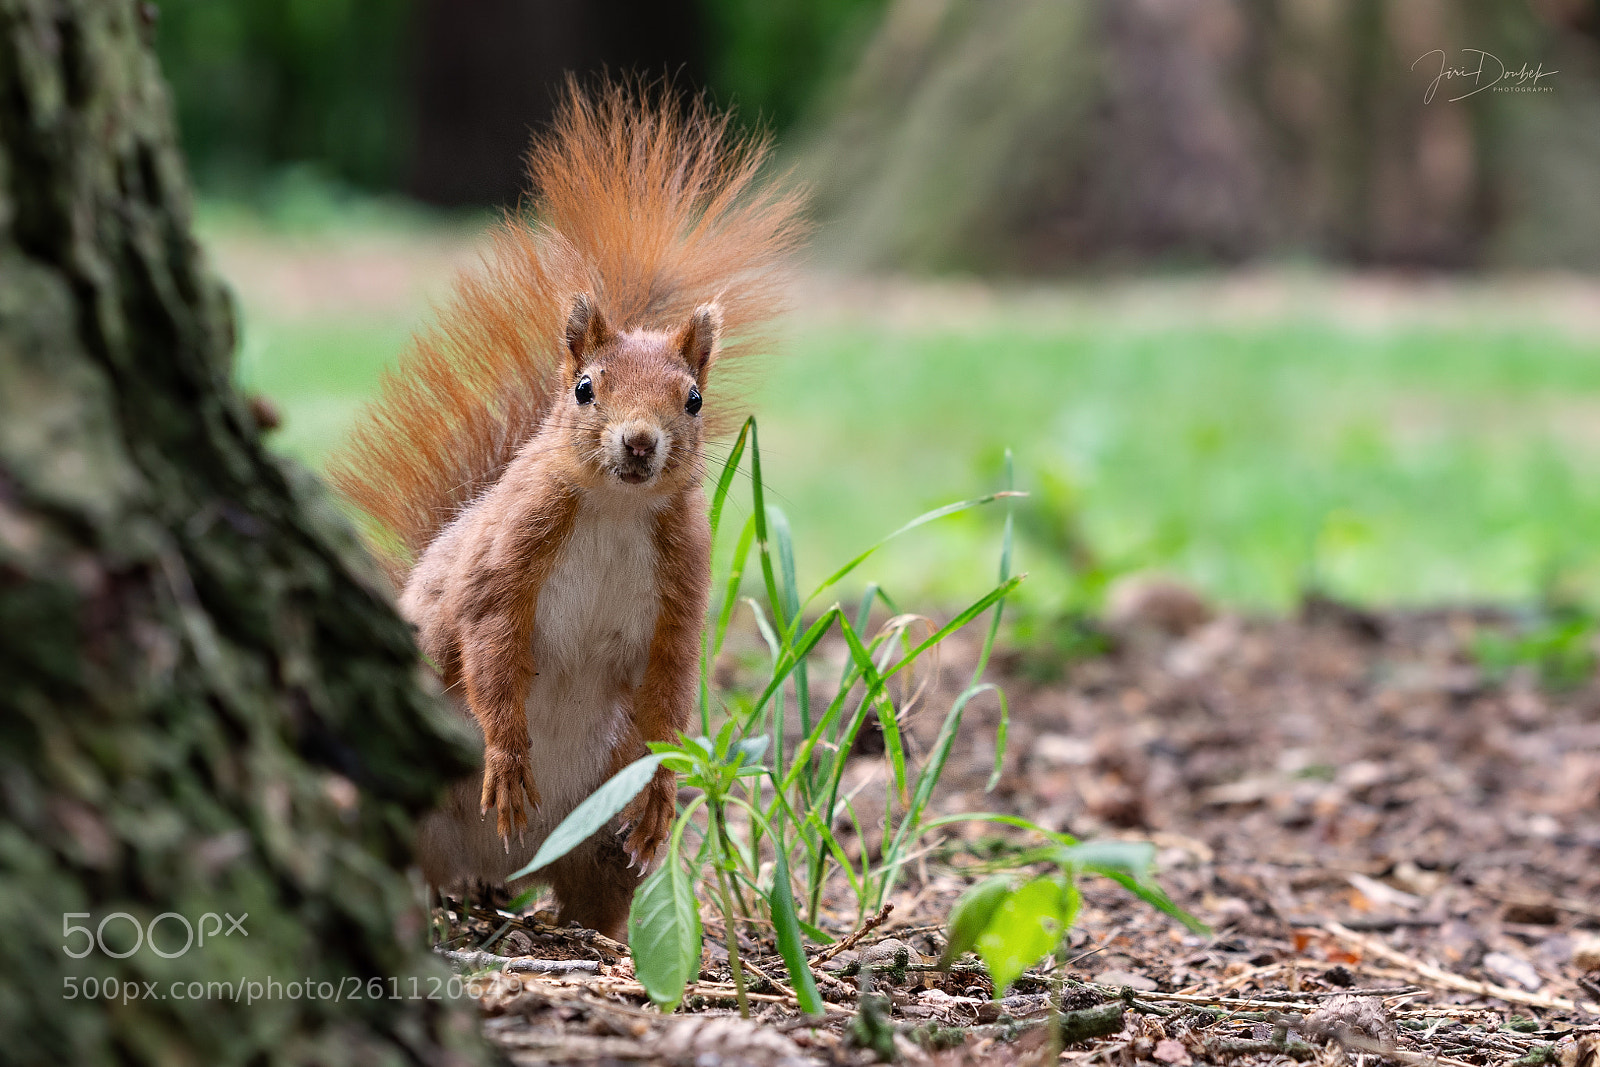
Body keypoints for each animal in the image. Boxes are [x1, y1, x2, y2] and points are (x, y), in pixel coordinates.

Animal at [328, 81, 805, 939]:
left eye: (694, 398)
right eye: (585, 388)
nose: (640, 442)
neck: (614, 508)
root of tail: (500, 868)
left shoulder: (681, 586)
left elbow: (670, 690)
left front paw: (662, 798)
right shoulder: (505, 563)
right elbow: (489, 650)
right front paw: (509, 759)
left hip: (598, 822)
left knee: (601, 884)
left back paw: (597, 931)